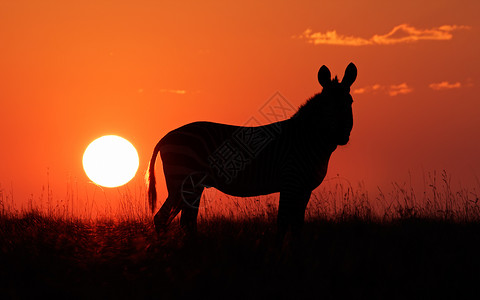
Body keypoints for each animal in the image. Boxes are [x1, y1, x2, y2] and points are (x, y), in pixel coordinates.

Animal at [146, 63, 356, 241]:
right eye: (325, 105)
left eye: (350, 101)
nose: (341, 135)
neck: (307, 139)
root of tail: (166, 136)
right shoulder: (290, 181)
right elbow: (282, 223)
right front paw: (278, 255)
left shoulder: (305, 188)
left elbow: (297, 226)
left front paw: (295, 253)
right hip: (184, 180)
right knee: (165, 218)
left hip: (191, 185)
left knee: (184, 221)